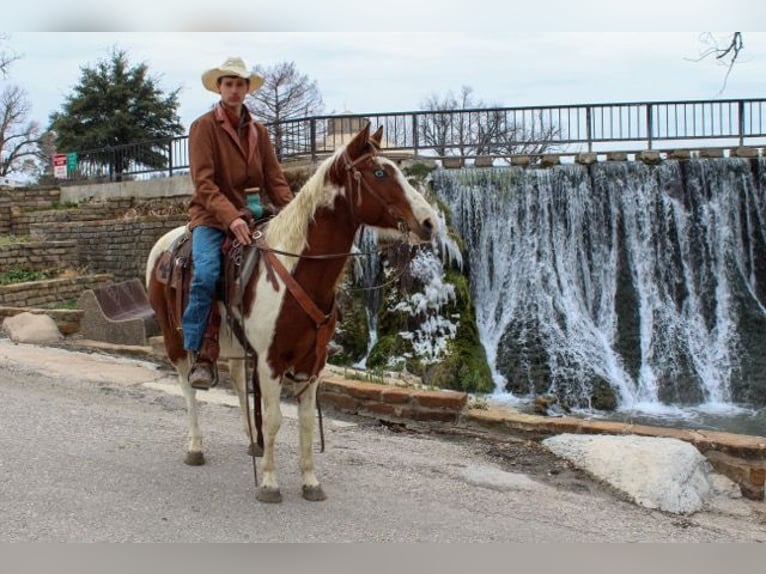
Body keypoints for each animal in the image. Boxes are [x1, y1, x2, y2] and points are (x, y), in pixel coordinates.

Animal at [146, 126, 438, 504]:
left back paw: (251, 441)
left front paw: (310, 481)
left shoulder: (311, 364)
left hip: (235, 344)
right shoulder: (271, 362)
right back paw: (195, 445)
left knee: (238, 381)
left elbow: (306, 424)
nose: (429, 223)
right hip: (175, 338)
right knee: (187, 386)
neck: (296, 272)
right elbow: (274, 419)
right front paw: (269, 483)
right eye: (379, 173)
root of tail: (164, 244)